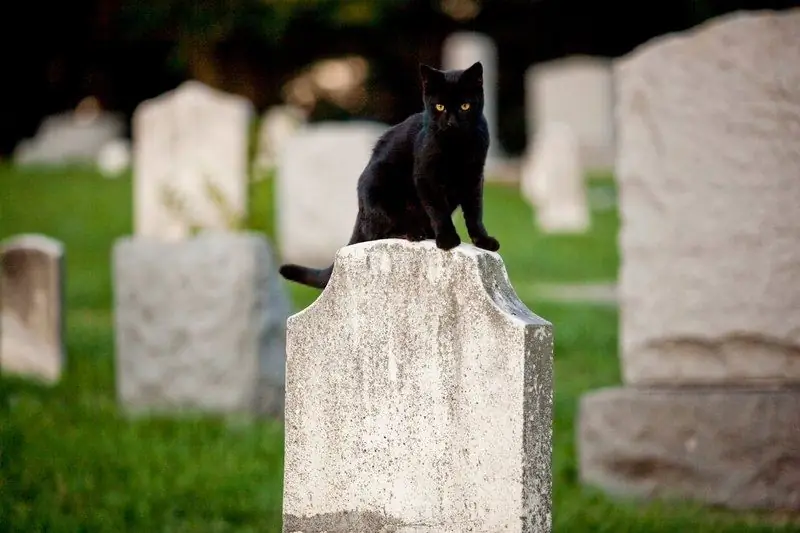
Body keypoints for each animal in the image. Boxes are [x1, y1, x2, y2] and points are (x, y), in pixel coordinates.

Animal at [278, 61, 496, 290]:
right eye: (440, 107)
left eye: (465, 106)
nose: (452, 123)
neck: (457, 148)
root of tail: (360, 210)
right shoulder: (426, 176)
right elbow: (438, 210)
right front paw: (446, 239)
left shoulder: (474, 177)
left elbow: (475, 212)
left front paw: (483, 240)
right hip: (379, 184)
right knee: (379, 232)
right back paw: (414, 232)